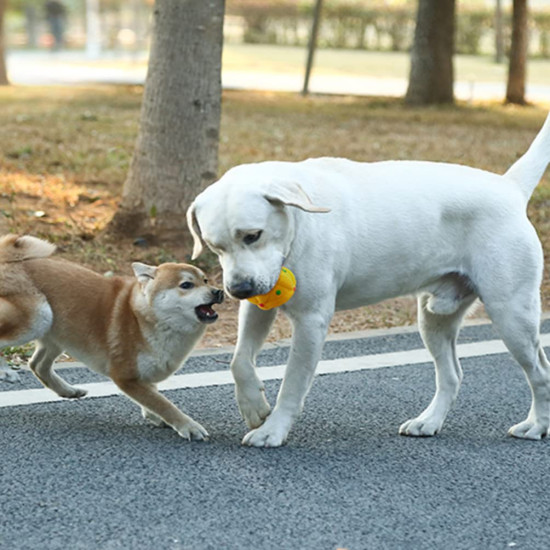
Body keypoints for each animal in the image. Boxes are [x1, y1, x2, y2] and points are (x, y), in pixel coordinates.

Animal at [0, 235, 224, 442]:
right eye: (186, 285)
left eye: (205, 280)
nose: (218, 291)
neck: (145, 320)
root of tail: (7, 262)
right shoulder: (125, 376)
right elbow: (163, 403)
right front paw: (187, 425)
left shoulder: (143, 375)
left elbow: (152, 396)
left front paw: (154, 416)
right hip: (38, 317)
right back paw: (5, 371)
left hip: (58, 331)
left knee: (37, 365)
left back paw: (68, 391)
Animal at [189, 114, 550, 446]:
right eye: (215, 246)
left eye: (253, 235)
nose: (238, 289)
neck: (299, 224)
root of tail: (509, 187)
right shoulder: (258, 308)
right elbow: (239, 361)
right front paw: (253, 406)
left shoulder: (310, 322)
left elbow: (291, 385)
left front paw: (273, 430)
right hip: (433, 320)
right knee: (452, 376)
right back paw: (429, 421)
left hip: (511, 316)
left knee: (540, 373)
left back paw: (536, 425)